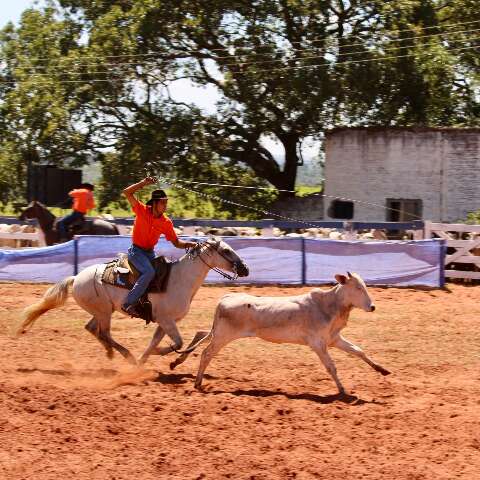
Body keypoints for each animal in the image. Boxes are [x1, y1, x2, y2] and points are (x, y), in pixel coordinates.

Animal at [16, 238, 249, 366]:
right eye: (226, 251)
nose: (245, 268)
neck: (180, 279)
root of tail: (76, 278)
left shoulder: (165, 321)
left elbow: (158, 342)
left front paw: (145, 359)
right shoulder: (166, 320)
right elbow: (177, 344)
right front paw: (154, 356)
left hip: (102, 311)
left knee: (92, 329)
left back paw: (112, 353)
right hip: (104, 312)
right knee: (103, 333)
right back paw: (125, 355)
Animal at [172, 274, 390, 394]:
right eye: (357, 287)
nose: (372, 306)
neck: (328, 305)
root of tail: (226, 298)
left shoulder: (333, 339)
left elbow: (358, 351)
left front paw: (382, 369)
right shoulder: (318, 344)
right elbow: (331, 366)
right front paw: (342, 390)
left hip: (218, 333)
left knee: (201, 339)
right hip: (223, 336)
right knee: (206, 353)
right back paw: (198, 383)